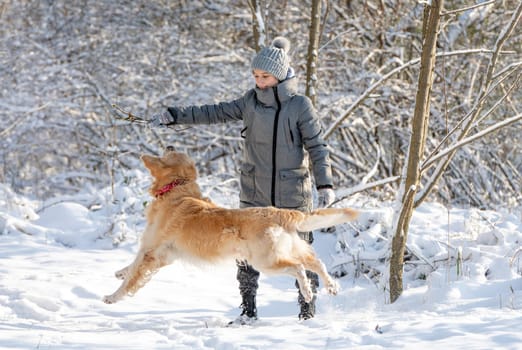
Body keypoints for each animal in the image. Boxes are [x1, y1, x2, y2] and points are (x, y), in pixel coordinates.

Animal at [100, 146, 358, 304]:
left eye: (174, 153)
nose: (171, 145)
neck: (176, 190)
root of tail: (278, 211)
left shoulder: (152, 249)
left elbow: (133, 274)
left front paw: (113, 297)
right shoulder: (163, 254)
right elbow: (131, 266)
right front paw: (119, 272)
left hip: (266, 260)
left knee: (299, 268)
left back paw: (306, 290)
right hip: (291, 248)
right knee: (316, 262)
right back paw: (330, 287)